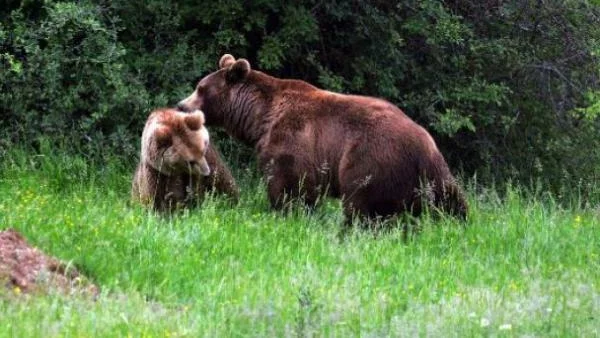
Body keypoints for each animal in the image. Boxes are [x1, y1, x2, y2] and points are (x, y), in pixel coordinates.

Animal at [176, 53, 466, 224]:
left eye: (200, 88)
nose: (181, 105)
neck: (259, 118)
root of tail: (424, 145)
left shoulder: (292, 141)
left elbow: (289, 185)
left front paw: (286, 214)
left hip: (372, 158)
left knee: (361, 202)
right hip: (434, 174)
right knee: (451, 201)